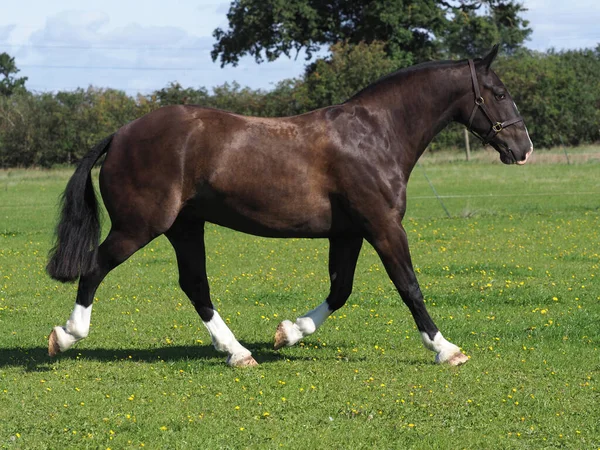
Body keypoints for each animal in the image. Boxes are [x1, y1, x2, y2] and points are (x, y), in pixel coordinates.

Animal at [48, 45, 536, 368]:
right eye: (498, 91)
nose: (523, 148)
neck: (375, 136)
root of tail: (120, 134)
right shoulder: (383, 227)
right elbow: (409, 286)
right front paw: (445, 349)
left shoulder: (349, 232)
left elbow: (340, 291)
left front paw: (289, 333)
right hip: (140, 226)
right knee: (95, 267)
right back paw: (66, 335)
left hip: (185, 227)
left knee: (195, 286)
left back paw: (238, 353)